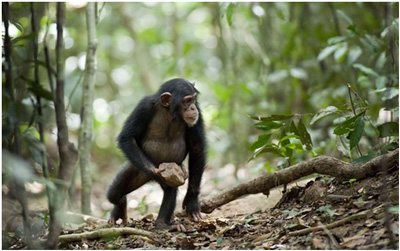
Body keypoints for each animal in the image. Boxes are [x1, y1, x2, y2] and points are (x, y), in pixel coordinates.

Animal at [106, 78, 206, 231]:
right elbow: (127, 138)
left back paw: (162, 224)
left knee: (170, 191)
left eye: (194, 100)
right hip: (137, 168)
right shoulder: (143, 107)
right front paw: (156, 172)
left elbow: (196, 147)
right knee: (114, 194)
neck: (169, 112)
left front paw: (192, 201)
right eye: (187, 101)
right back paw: (120, 206)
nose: (193, 108)